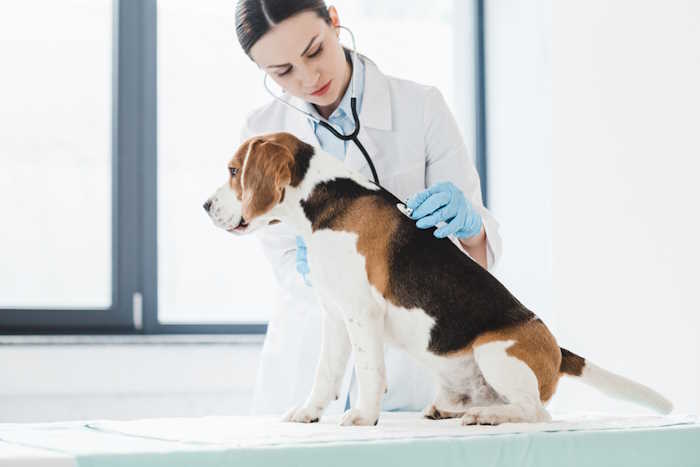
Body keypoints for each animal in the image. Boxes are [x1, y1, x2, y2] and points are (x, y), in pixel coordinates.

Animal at [204, 132, 672, 428]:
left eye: (233, 171)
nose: (205, 205)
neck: (325, 201)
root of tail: (558, 352)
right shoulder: (336, 316)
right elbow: (325, 374)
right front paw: (309, 412)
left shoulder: (361, 313)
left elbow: (369, 370)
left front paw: (363, 417)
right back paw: (453, 409)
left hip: (494, 351)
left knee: (535, 412)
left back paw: (487, 416)